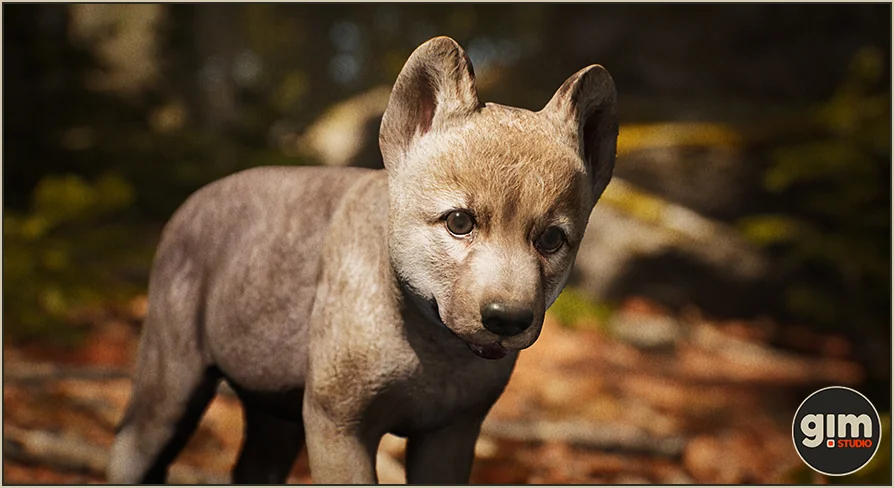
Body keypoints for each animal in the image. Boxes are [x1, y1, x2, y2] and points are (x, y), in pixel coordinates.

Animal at [106, 36, 618, 484]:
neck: (435, 353)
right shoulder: (338, 422)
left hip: (275, 404)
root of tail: (190, 202)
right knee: (131, 451)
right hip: (172, 379)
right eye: (459, 222)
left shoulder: (452, 433)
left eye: (551, 239)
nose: (508, 319)